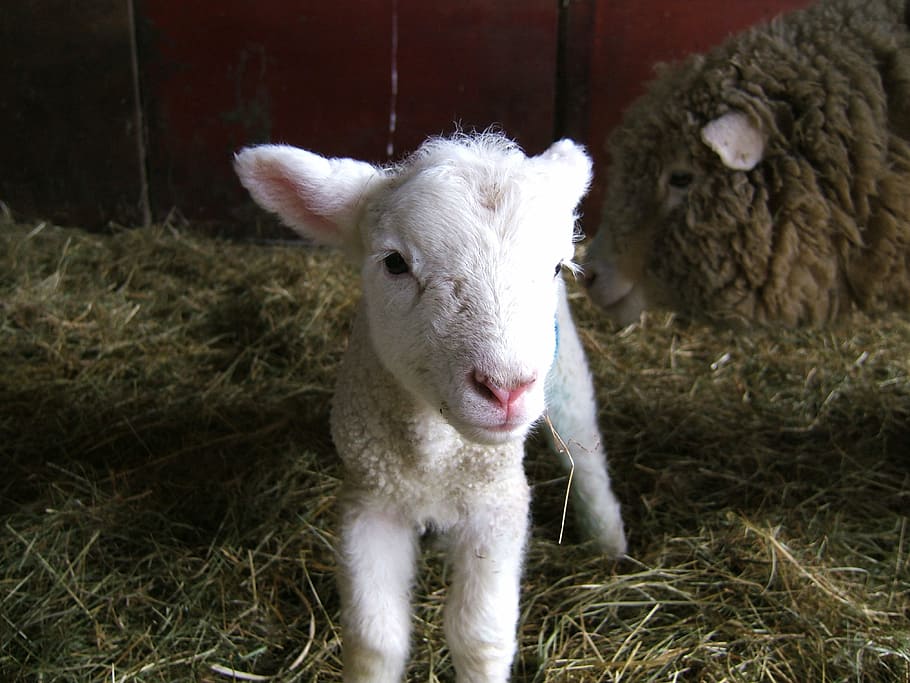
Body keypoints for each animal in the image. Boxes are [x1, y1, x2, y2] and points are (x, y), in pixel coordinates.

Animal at [234, 132, 626, 682]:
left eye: (555, 266)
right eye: (395, 262)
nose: (505, 388)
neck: (437, 452)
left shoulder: (498, 505)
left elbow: (480, 639)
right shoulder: (370, 502)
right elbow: (374, 641)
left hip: (564, 372)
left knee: (583, 451)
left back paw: (609, 539)